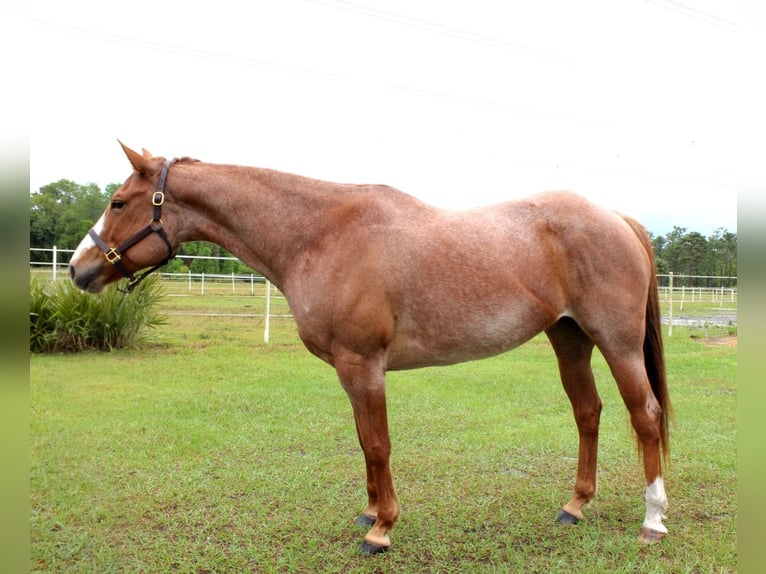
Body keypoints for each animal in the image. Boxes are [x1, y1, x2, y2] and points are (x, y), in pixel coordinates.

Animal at [69, 142, 671, 555]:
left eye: (118, 202)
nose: (79, 269)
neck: (320, 235)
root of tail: (618, 219)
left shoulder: (364, 365)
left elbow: (379, 444)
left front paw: (381, 530)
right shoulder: (349, 369)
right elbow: (363, 442)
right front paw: (368, 511)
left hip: (616, 343)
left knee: (644, 415)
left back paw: (652, 519)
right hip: (569, 339)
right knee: (588, 412)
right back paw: (575, 505)